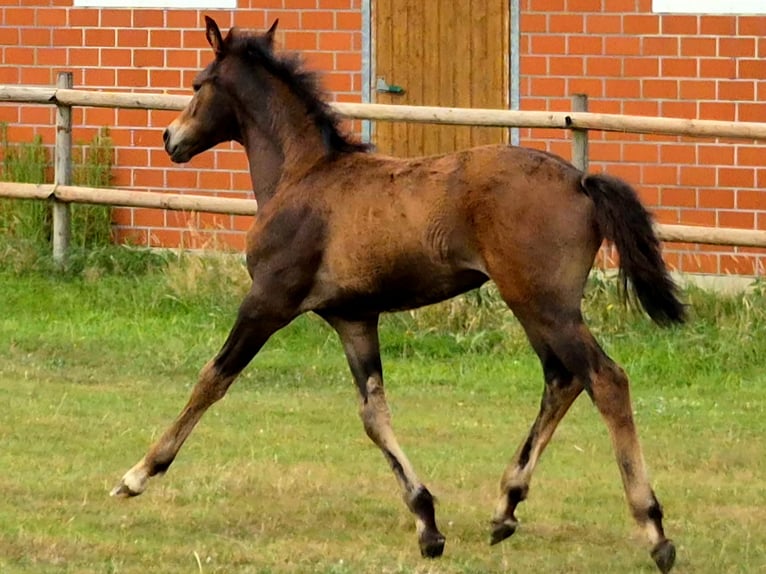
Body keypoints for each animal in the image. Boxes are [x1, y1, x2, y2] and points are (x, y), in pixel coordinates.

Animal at [111, 17, 684, 573]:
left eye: (197, 85)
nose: (169, 138)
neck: (301, 178)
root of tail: (580, 181)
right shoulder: (354, 318)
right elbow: (374, 414)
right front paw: (427, 523)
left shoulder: (268, 301)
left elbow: (212, 378)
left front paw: (137, 474)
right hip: (537, 307)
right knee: (563, 380)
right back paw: (505, 508)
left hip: (543, 304)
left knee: (605, 379)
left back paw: (653, 529)